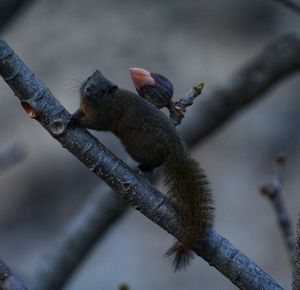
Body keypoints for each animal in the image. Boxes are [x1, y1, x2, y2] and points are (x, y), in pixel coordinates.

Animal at [71, 71, 214, 272]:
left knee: (156, 161)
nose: (89, 89)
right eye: (90, 78)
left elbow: (95, 124)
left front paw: (76, 121)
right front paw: (74, 114)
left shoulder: (106, 116)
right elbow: (80, 111)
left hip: (137, 146)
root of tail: (175, 148)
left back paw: (144, 168)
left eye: (104, 90)